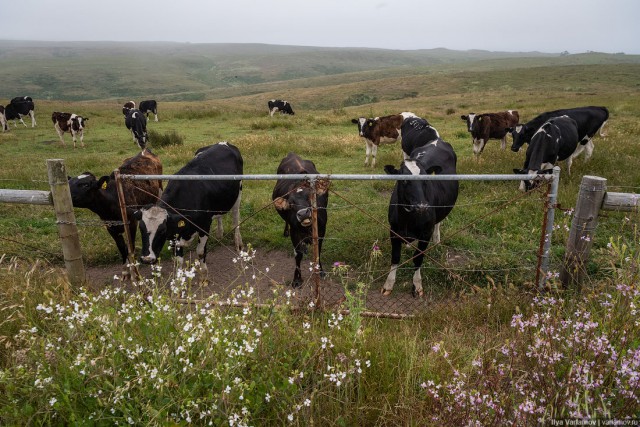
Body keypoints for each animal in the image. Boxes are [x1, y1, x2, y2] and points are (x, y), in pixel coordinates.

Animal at [67, 150, 162, 280]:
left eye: (85, 185)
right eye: (69, 183)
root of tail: (144, 151)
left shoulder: (131, 223)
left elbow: (130, 248)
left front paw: (135, 273)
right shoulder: (110, 226)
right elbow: (122, 248)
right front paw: (125, 272)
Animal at [134, 141, 244, 274]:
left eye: (162, 230)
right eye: (141, 228)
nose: (146, 259)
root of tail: (223, 143)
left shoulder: (204, 226)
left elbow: (200, 252)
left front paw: (204, 273)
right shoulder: (175, 235)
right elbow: (178, 260)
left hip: (238, 195)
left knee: (235, 218)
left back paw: (238, 243)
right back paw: (219, 233)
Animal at [272, 152, 330, 290]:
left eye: (311, 197)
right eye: (291, 203)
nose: (303, 213)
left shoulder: (322, 230)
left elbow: (318, 250)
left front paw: (320, 270)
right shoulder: (295, 232)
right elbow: (298, 254)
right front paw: (297, 279)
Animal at [382, 140, 458, 298]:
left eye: (426, 180)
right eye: (404, 180)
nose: (422, 206)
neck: (407, 219)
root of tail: (438, 141)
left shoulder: (425, 233)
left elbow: (418, 258)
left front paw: (417, 284)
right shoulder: (393, 230)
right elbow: (395, 256)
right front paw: (388, 284)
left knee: (438, 223)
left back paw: (437, 240)